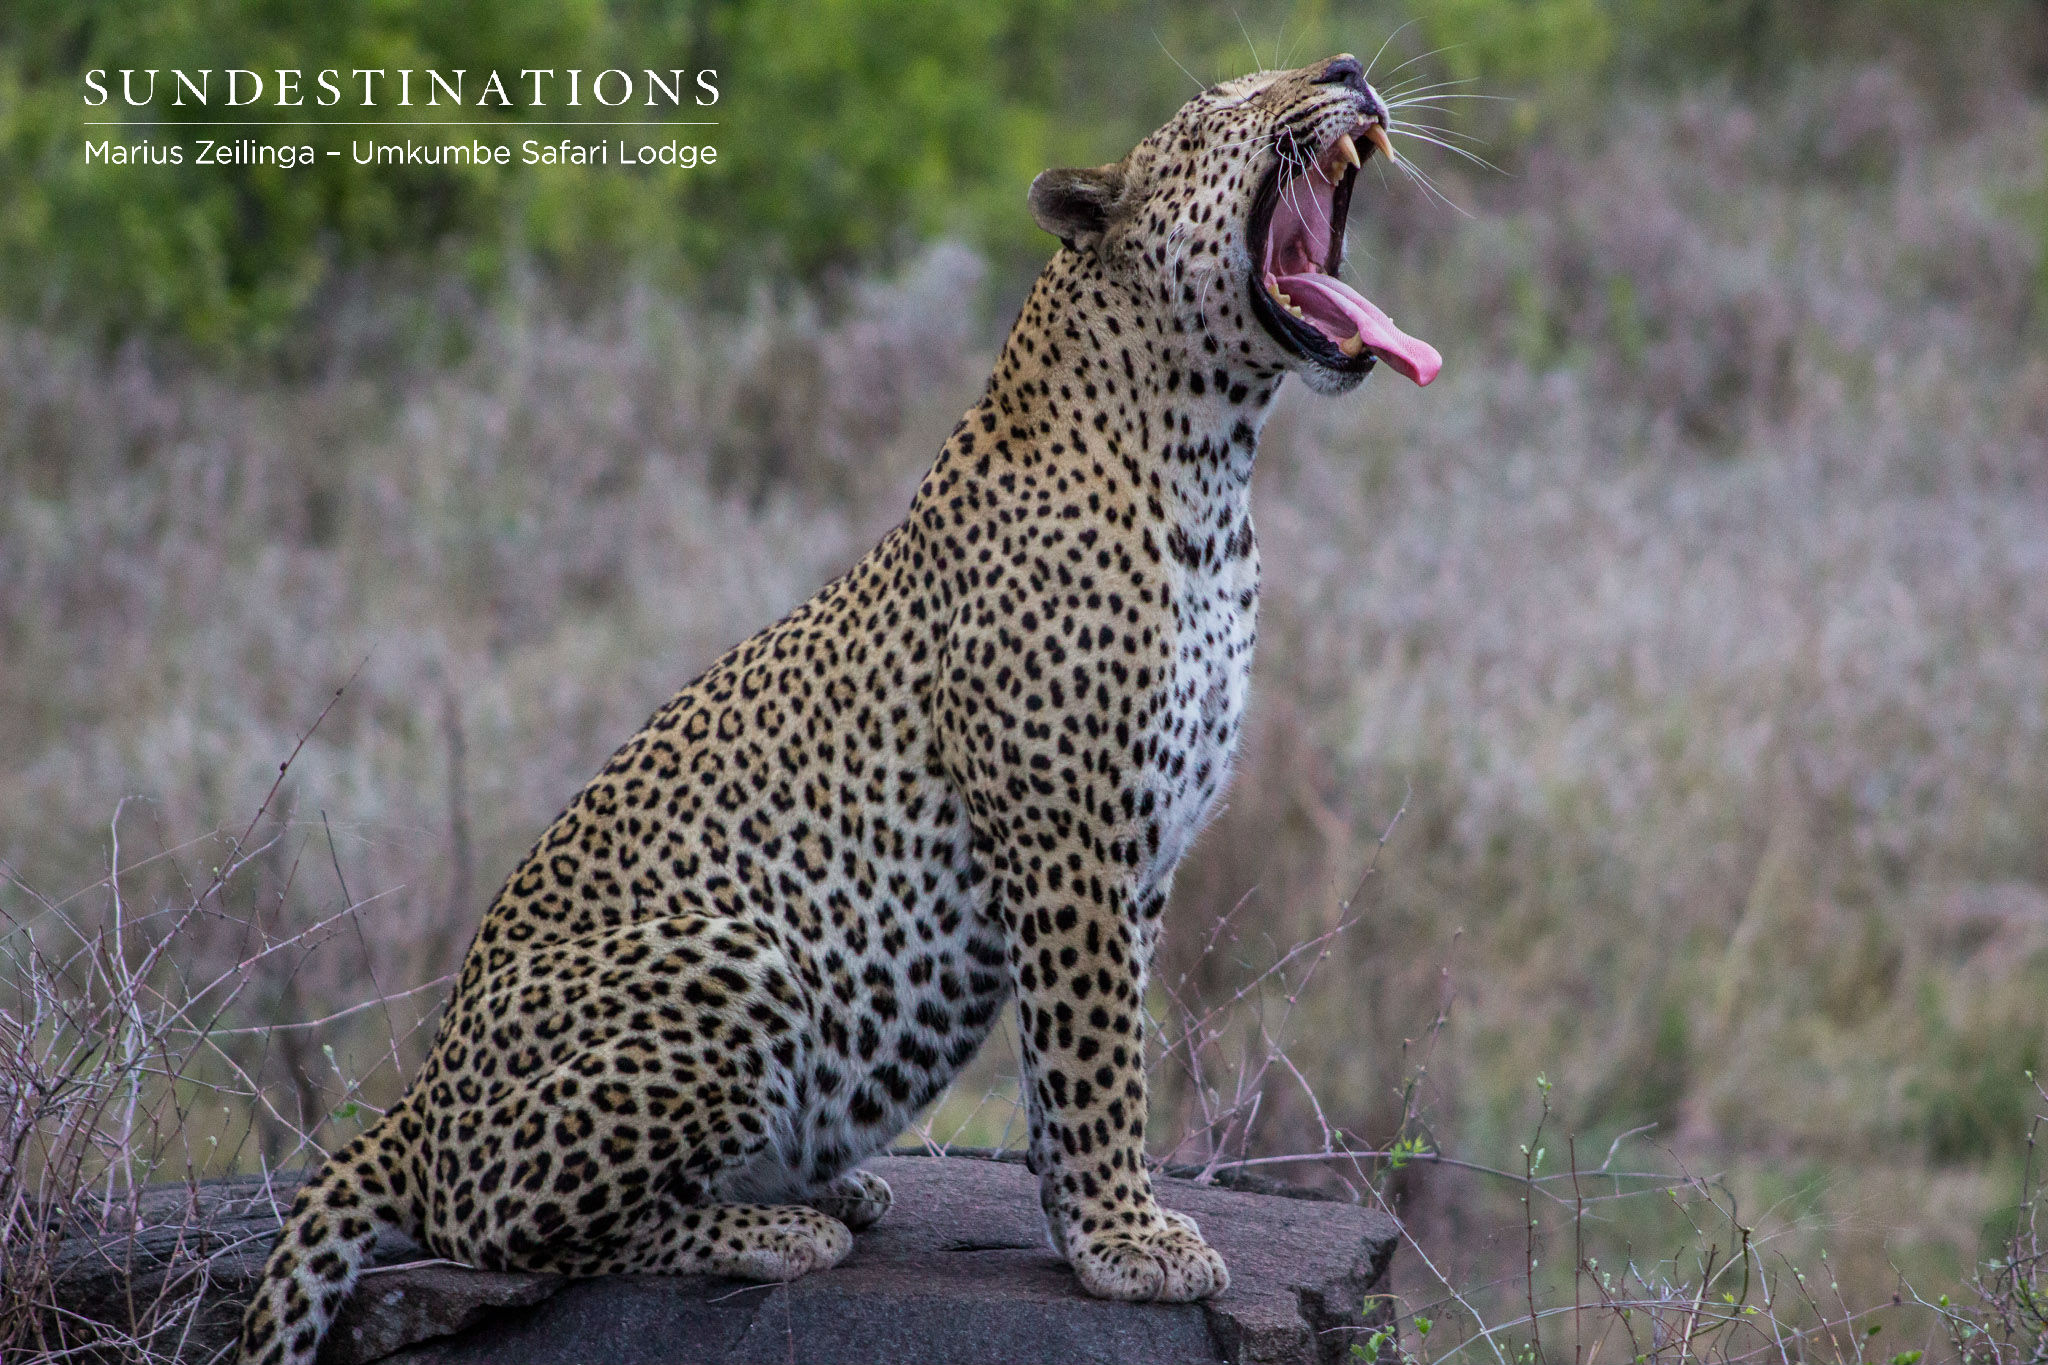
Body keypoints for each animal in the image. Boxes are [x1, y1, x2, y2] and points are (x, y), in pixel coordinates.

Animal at [237, 52, 1439, 1365]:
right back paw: (774, 1227)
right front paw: (1123, 1241)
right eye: (1221, 103)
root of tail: (412, 1107)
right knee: (502, 1229)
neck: (1213, 470)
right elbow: (1093, 1056)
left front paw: (1092, 1221)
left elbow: (1080, 1055)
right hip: (733, 958)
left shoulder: (1144, 854)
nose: (1347, 68)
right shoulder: (1066, 838)